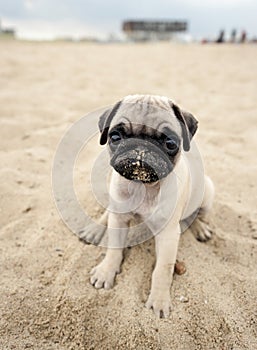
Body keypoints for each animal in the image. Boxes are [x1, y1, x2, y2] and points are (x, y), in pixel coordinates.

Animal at [83, 95, 213, 318]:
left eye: (170, 142)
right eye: (115, 136)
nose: (141, 147)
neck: (142, 186)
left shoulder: (168, 235)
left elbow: (162, 270)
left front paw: (159, 299)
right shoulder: (119, 220)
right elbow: (114, 249)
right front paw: (106, 271)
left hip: (207, 192)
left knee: (195, 213)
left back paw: (200, 228)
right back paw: (94, 229)